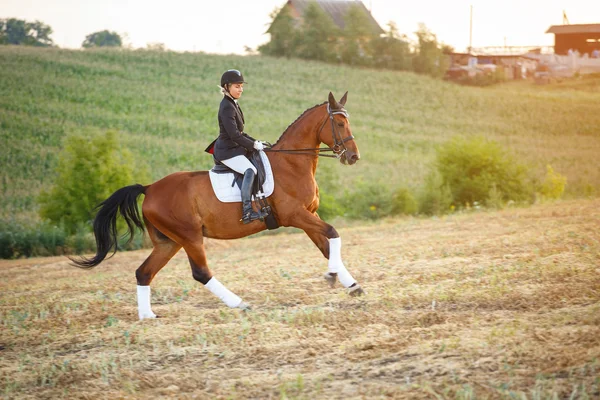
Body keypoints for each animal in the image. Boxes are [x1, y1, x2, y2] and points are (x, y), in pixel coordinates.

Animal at [75, 90, 366, 318]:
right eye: (339, 123)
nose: (353, 157)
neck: (291, 163)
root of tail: (149, 188)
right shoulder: (295, 215)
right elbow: (333, 233)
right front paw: (333, 277)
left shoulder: (307, 216)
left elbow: (326, 247)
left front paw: (351, 284)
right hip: (190, 236)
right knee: (201, 273)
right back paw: (240, 304)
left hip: (170, 241)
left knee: (143, 272)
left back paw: (148, 317)